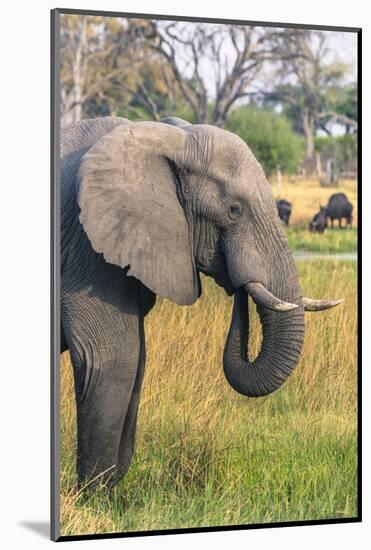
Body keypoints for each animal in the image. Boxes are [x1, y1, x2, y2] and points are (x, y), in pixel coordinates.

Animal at [60, 116, 346, 488]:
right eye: (234, 210)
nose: (237, 283)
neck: (164, 138)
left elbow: (138, 359)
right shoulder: (85, 250)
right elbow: (113, 358)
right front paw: (97, 495)